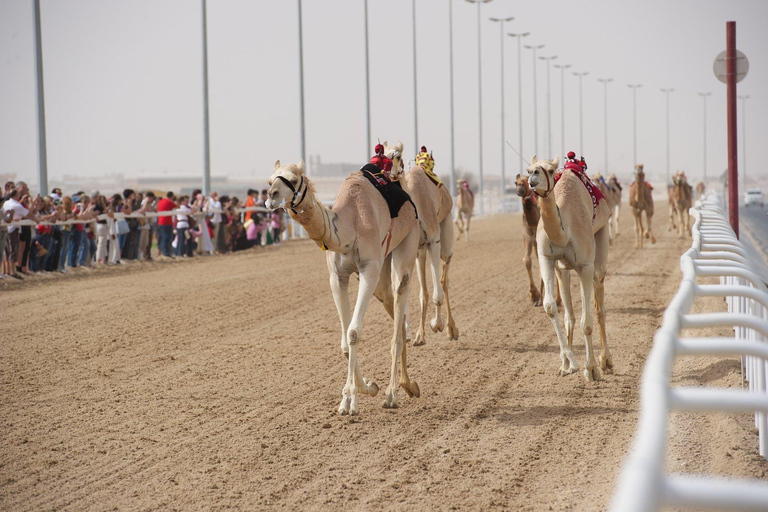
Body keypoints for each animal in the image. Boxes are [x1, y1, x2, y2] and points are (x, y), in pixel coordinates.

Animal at [264, 158, 420, 414]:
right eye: (269, 180)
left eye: (295, 179)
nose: (271, 196)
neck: (349, 225)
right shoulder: (336, 276)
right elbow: (345, 341)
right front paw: (366, 388)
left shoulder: (369, 269)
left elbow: (354, 332)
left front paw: (351, 401)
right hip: (383, 270)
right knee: (393, 306)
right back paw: (409, 386)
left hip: (407, 241)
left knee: (400, 297)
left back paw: (392, 394)